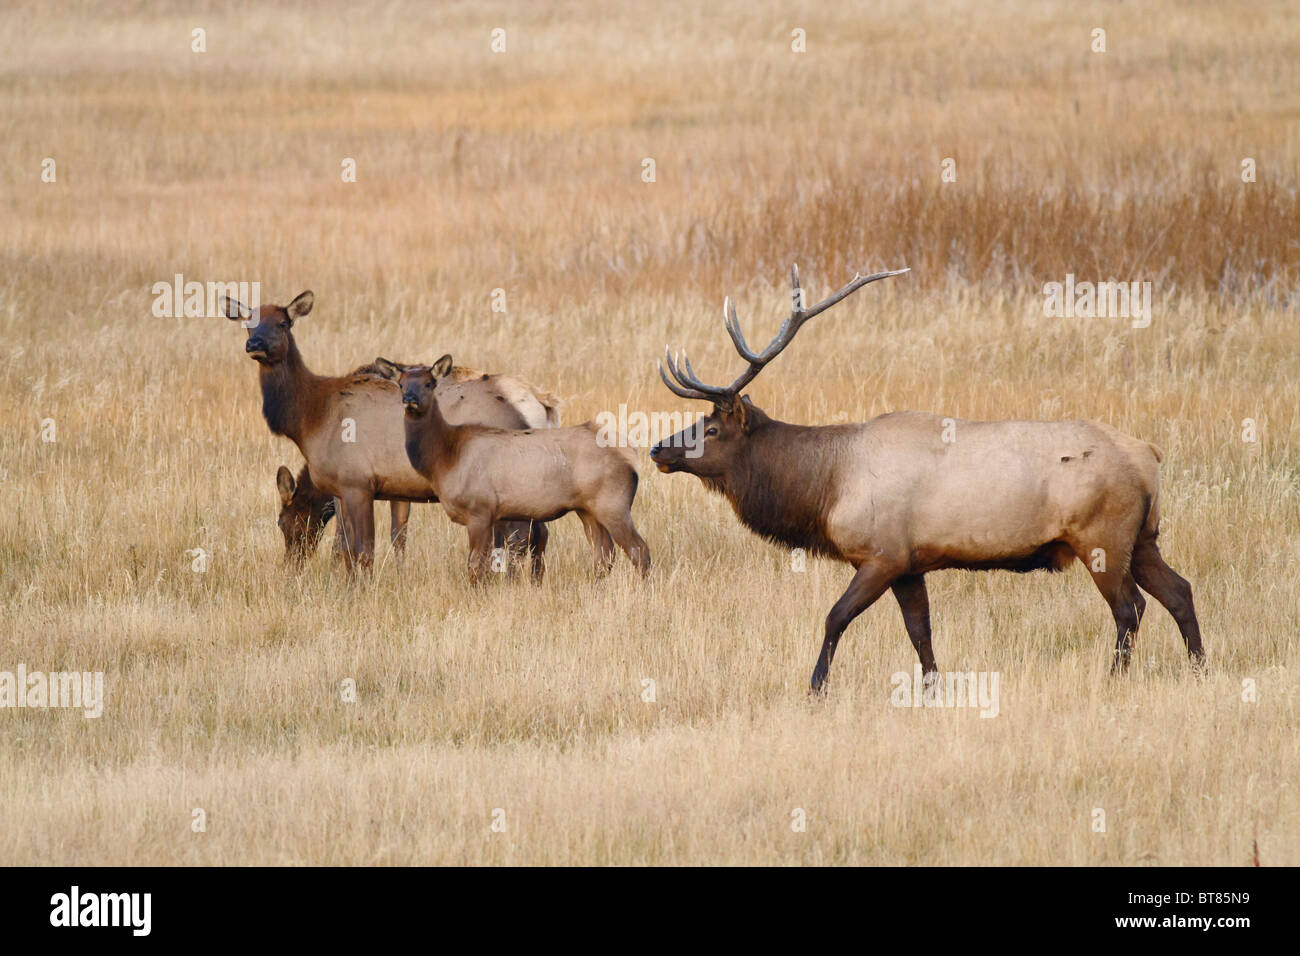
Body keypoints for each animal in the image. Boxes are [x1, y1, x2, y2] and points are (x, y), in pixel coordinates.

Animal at [225, 292, 558, 576]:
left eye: (283, 323)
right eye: (248, 324)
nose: (255, 343)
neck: (312, 416)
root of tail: (544, 403)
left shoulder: (353, 481)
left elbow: (352, 545)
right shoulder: (396, 487)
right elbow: (395, 537)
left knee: (520, 536)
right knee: (538, 533)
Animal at [373, 355, 651, 581]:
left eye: (429, 383)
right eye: (401, 384)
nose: (409, 399)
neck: (444, 459)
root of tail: (632, 455)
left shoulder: (479, 509)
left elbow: (476, 566)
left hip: (613, 504)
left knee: (639, 551)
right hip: (587, 509)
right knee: (603, 555)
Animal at [649, 265, 1205, 693]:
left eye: (712, 428)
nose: (658, 448)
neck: (826, 485)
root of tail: (1149, 456)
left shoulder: (882, 554)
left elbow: (835, 617)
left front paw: (815, 686)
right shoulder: (910, 564)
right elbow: (922, 632)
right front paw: (933, 689)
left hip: (1101, 537)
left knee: (1130, 608)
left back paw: (1114, 678)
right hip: (1144, 537)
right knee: (1179, 591)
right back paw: (1201, 668)